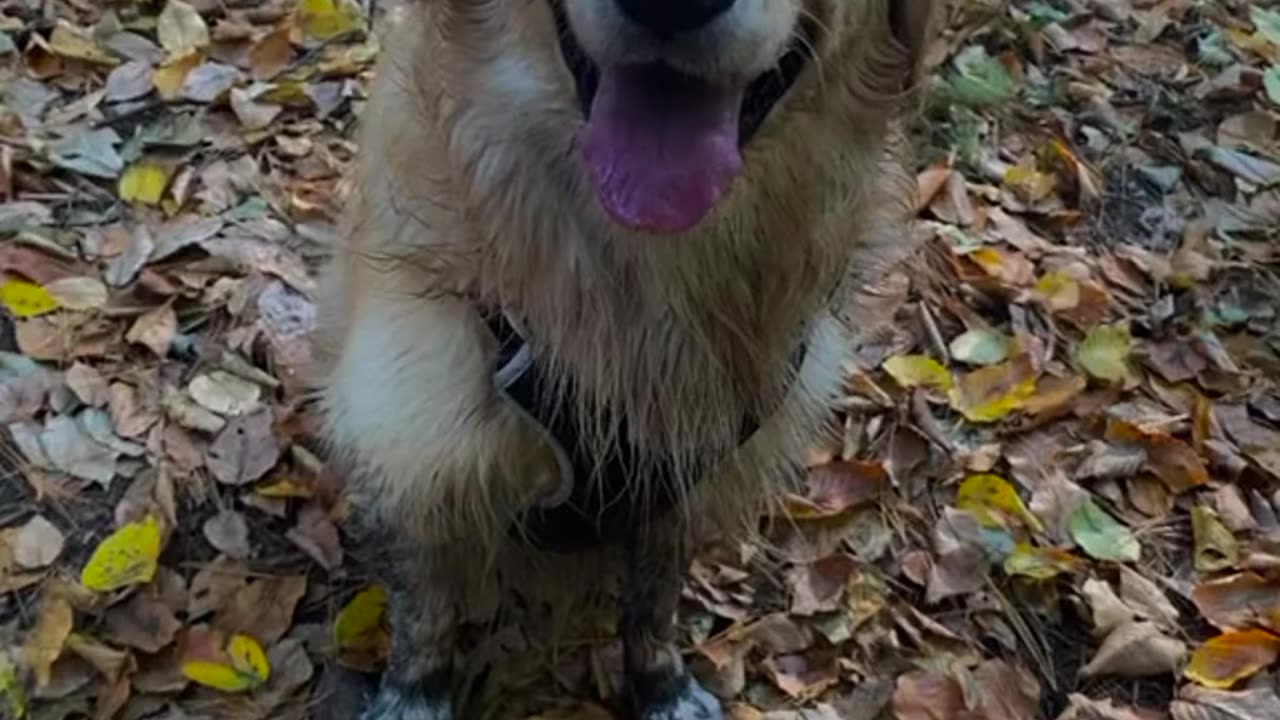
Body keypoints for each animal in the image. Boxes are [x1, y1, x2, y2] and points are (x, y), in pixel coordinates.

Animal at [317, 0, 942, 712]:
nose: (672, 4)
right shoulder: (414, 453)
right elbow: (425, 610)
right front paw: (416, 694)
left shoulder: (685, 472)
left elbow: (655, 595)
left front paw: (661, 684)